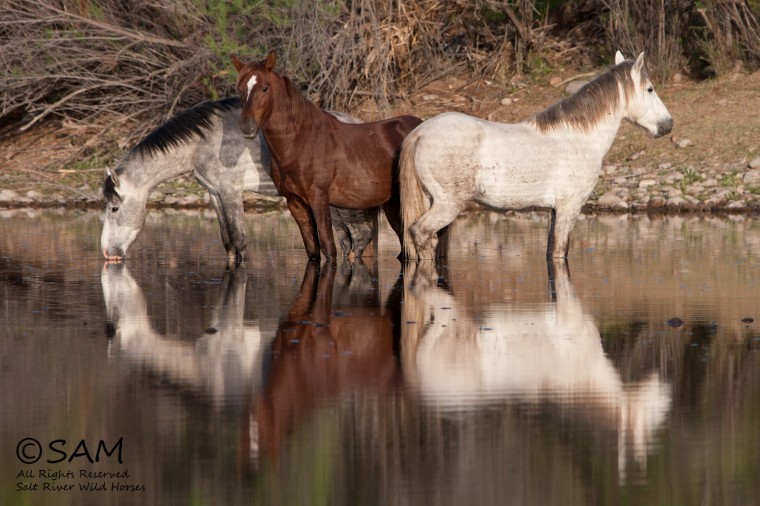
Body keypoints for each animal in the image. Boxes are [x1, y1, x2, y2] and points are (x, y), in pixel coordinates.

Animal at [100, 98, 378, 266]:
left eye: (114, 208)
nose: (107, 253)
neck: (203, 143)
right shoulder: (215, 194)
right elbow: (228, 242)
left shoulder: (231, 192)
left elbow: (239, 239)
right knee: (349, 240)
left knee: (359, 238)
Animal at [232, 51, 423, 261]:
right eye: (239, 89)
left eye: (265, 87)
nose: (246, 126)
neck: (301, 142)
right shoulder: (295, 203)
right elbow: (313, 250)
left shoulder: (319, 199)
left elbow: (328, 248)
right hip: (394, 205)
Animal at [399, 51, 673, 260]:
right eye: (650, 89)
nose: (668, 124)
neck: (578, 138)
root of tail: (420, 132)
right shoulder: (569, 208)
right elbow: (560, 251)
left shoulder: (553, 211)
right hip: (448, 205)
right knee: (420, 233)